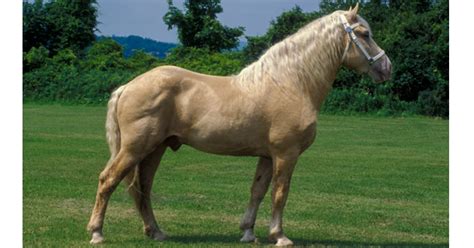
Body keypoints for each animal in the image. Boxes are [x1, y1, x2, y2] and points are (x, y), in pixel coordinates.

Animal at [87, 3, 390, 246]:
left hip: (154, 149)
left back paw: (156, 231)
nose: (386, 67)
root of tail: (127, 86)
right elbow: (280, 192)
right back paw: (97, 233)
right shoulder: (286, 154)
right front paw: (279, 236)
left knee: (143, 188)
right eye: (364, 34)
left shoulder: (267, 156)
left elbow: (258, 191)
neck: (291, 83)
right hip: (135, 148)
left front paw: (248, 232)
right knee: (108, 180)